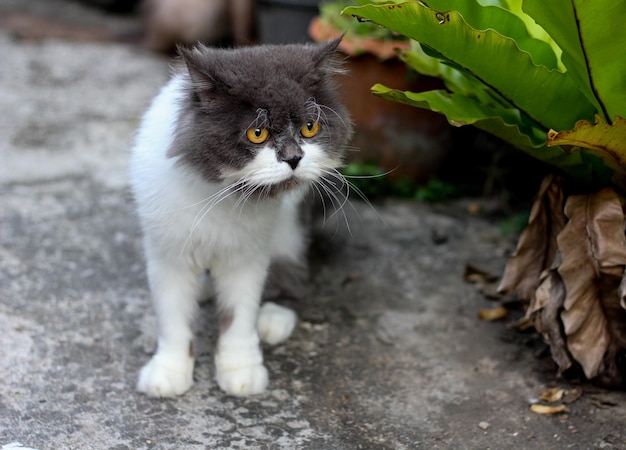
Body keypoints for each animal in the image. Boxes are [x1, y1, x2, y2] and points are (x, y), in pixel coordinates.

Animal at [128, 38, 352, 398]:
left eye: (309, 127)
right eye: (256, 133)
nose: (294, 158)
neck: (221, 194)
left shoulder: (246, 257)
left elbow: (238, 315)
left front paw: (240, 372)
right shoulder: (168, 255)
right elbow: (173, 318)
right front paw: (169, 373)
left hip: (290, 230)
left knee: (293, 274)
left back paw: (274, 318)